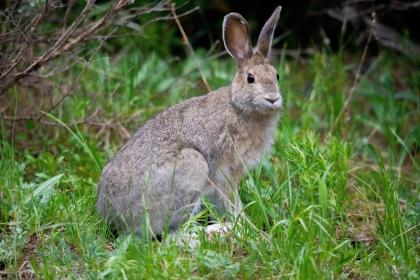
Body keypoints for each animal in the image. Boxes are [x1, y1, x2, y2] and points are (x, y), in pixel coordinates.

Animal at [97, 6, 284, 236]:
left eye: (277, 76)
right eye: (251, 78)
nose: (272, 98)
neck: (239, 107)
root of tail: (112, 217)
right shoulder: (224, 172)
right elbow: (231, 202)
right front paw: (247, 228)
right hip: (192, 167)